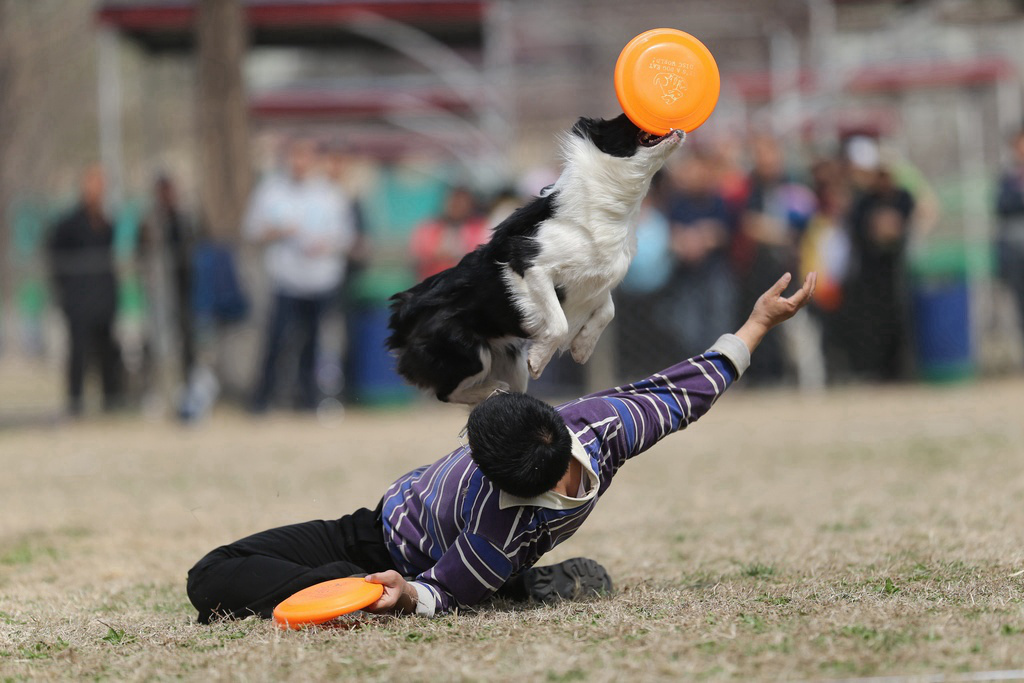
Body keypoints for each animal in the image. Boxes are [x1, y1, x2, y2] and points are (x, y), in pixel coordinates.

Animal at [387, 111, 684, 401]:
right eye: (627, 117)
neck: (611, 209)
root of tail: (404, 313)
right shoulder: (530, 265)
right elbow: (559, 322)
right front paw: (540, 359)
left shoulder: (599, 280)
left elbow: (608, 311)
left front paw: (583, 347)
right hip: (467, 350)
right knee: (446, 392)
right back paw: (490, 388)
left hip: (511, 361)